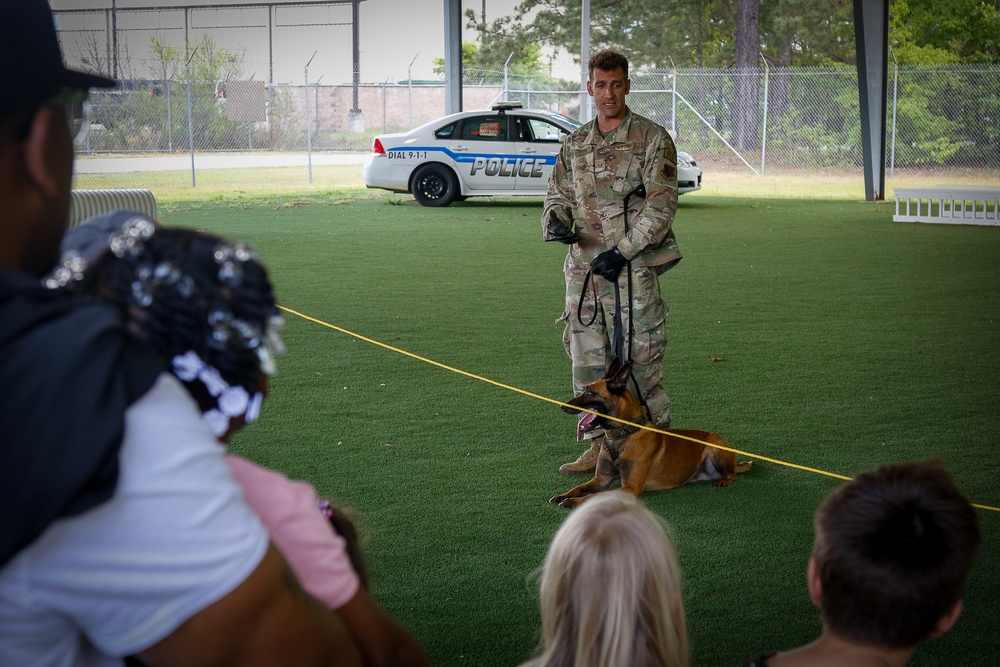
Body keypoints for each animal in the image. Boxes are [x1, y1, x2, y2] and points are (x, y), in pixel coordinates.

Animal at [552, 362, 752, 508]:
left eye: (589, 392)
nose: (562, 406)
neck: (622, 436)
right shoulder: (601, 479)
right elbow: (579, 487)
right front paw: (564, 495)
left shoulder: (629, 488)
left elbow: (594, 497)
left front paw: (572, 501)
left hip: (714, 443)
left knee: (732, 474)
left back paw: (725, 480)